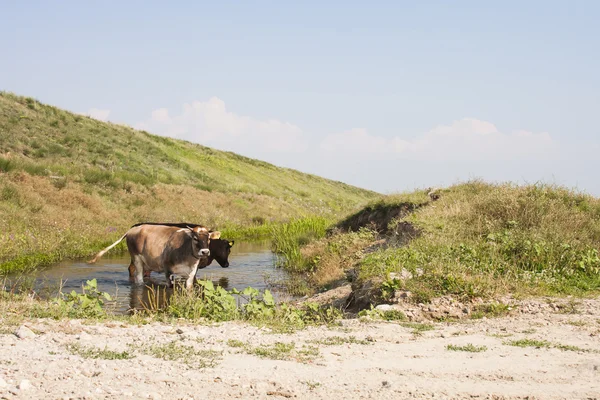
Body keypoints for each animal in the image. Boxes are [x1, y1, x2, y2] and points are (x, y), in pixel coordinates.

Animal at [89, 223, 220, 290]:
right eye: (195, 238)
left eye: (208, 238)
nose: (205, 252)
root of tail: (133, 229)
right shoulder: (167, 270)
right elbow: (170, 286)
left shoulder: (192, 273)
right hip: (136, 259)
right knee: (138, 278)